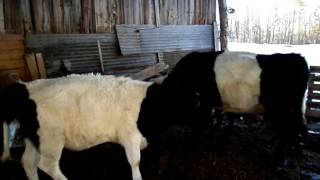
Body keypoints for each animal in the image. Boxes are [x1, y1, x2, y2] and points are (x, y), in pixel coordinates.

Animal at [1, 73, 202, 180]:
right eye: (191, 100)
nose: (205, 113)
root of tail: (23, 87)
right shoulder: (130, 135)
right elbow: (135, 162)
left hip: (35, 139)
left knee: (28, 162)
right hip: (51, 139)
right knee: (47, 165)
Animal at [162, 50, 310, 155]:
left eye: (167, 100)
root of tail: (298, 57)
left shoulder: (205, 102)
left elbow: (202, 123)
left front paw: (195, 141)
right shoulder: (219, 102)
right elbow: (221, 117)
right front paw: (218, 131)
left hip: (282, 109)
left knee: (285, 129)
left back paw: (277, 157)